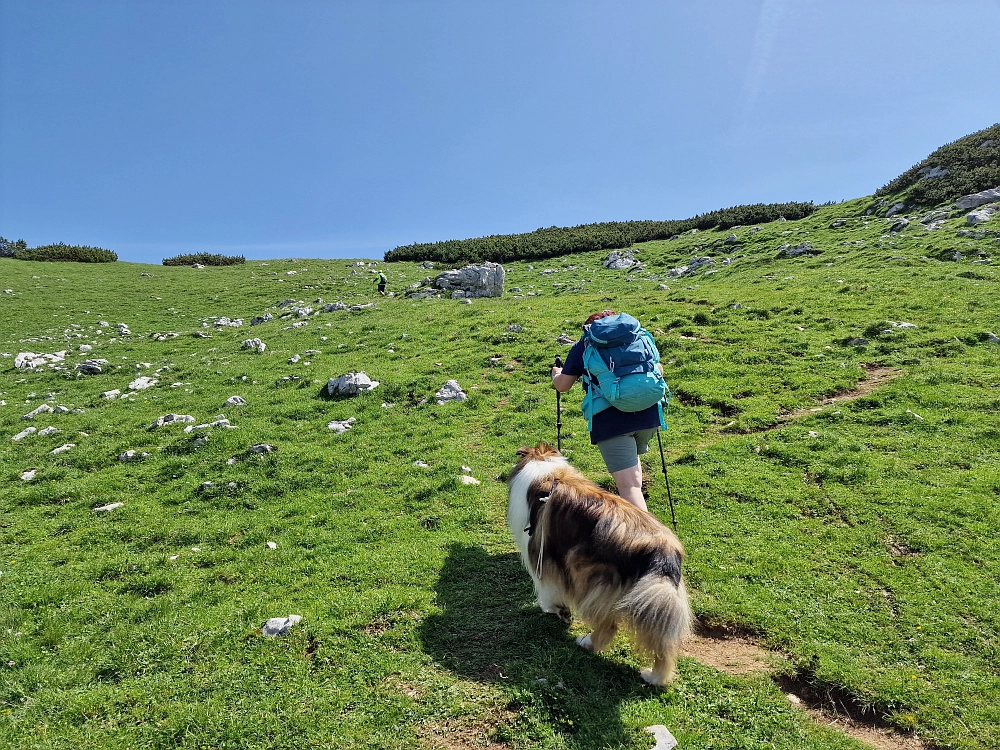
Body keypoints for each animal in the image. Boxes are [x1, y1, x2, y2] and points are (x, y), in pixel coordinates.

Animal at [504, 446, 692, 688]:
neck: (545, 467)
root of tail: (663, 550)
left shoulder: (540, 553)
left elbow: (547, 589)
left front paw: (556, 609)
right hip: (658, 596)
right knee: (663, 644)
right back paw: (656, 677)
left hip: (588, 575)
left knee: (608, 625)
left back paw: (587, 642)